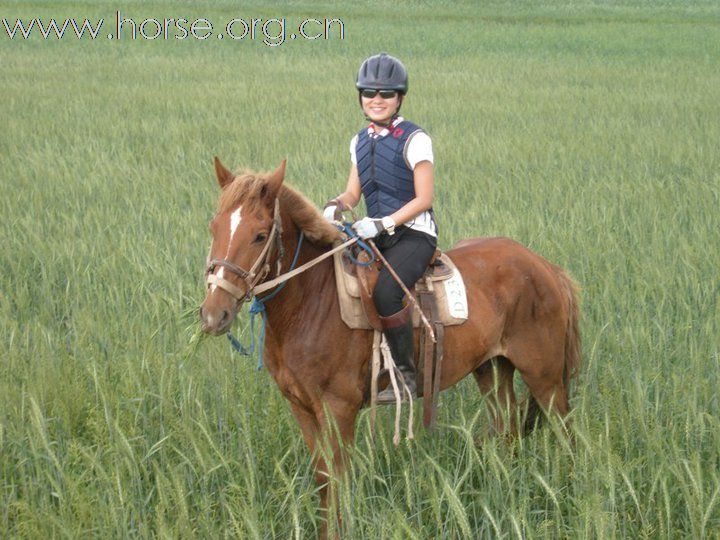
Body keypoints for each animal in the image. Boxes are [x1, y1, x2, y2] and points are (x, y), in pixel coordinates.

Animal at [200, 156, 584, 536]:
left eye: (260, 235)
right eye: (214, 228)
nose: (213, 314)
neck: (312, 300)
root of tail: (546, 268)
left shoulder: (337, 408)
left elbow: (338, 479)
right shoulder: (301, 407)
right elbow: (324, 479)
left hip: (544, 375)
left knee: (566, 430)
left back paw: (568, 492)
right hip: (492, 369)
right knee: (508, 427)